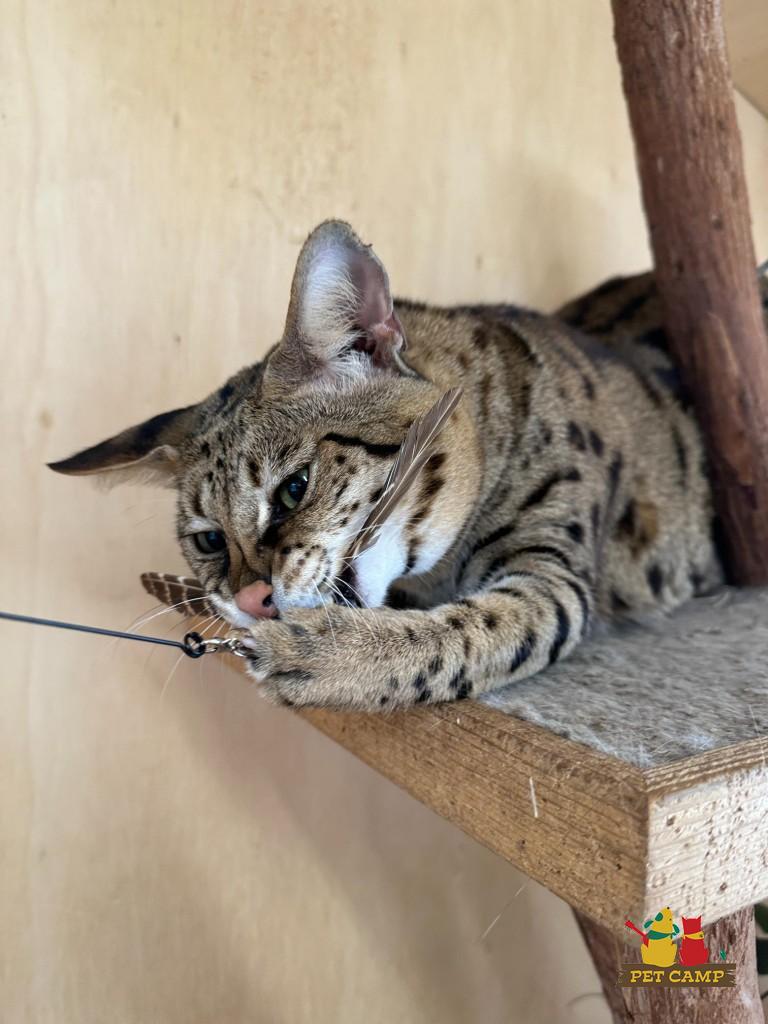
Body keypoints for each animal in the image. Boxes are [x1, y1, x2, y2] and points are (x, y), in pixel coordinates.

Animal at [50, 219, 761, 709]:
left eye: (294, 489)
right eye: (207, 542)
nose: (251, 599)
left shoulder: (553, 575)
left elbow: (466, 635)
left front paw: (327, 653)